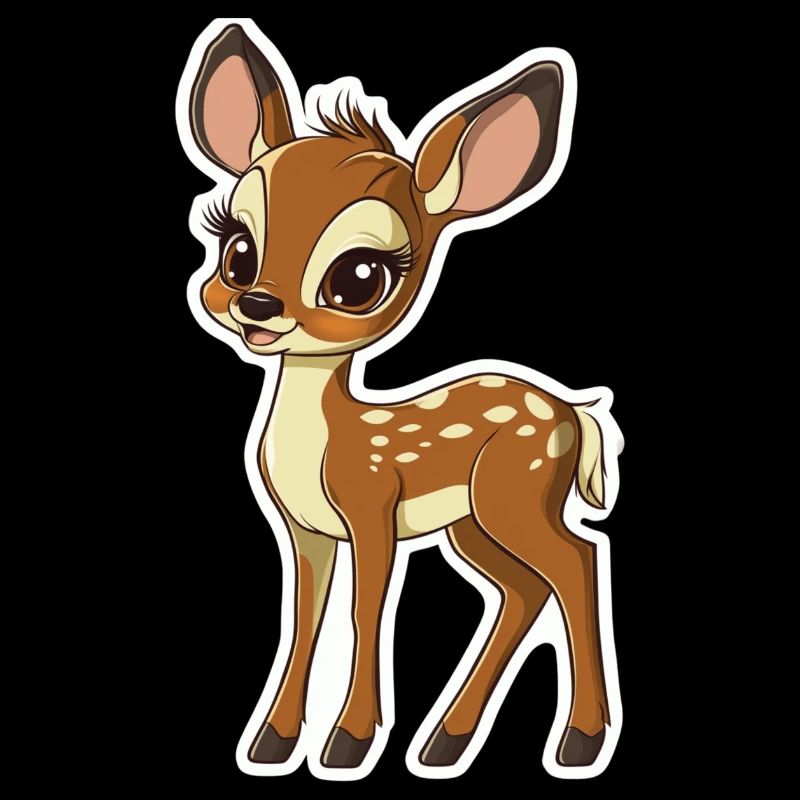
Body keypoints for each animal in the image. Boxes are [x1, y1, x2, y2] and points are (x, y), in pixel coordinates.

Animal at [179, 21, 621, 778]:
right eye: (236, 249)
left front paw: (348, 743)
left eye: (360, 277)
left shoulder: (372, 508)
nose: (258, 305)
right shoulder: (304, 529)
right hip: (473, 523)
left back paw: (579, 741)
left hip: (518, 495)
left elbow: (367, 610)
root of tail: (572, 411)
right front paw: (274, 742)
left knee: (578, 562)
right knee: (523, 588)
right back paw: (446, 742)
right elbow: (305, 617)